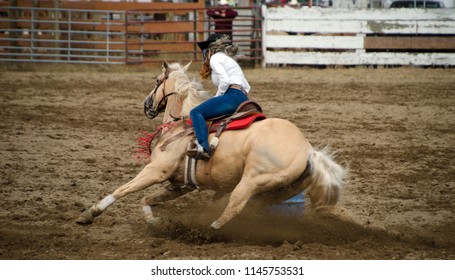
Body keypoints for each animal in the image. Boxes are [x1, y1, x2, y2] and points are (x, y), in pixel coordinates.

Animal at [76, 61, 348, 230]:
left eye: (156, 80)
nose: (147, 105)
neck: (181, 123)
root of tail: (308, 150)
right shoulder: (179, 185)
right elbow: (147, 199)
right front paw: (153, 223)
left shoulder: (156, 171)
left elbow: (123, 190)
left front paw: (89, 213)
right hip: (278, 191)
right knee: (249, 209)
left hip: (252, 181)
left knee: (234, 208)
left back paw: (207, 232)